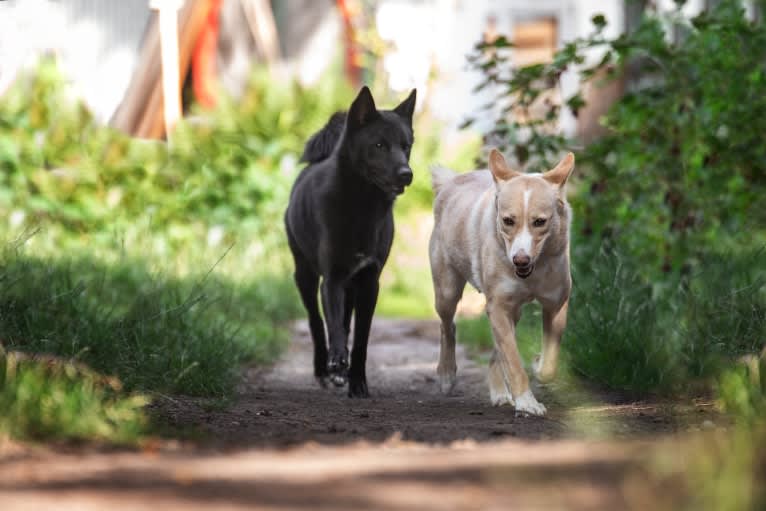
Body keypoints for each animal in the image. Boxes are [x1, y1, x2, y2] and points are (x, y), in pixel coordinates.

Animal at [286, 87, 416, 400]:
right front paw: (336, 362)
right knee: (317, 322)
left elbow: (360, 340)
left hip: (350, 286)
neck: (362, 205)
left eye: (406, 146)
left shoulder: (369, 282)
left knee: (344, 322)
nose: (406, 174)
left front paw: (358, 382)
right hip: (305, 275)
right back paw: (324, 369)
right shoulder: (331, 279)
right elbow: (332, 325)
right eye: (379, 144)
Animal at [428, 149, 572, 416]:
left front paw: (537, 365)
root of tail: (451, 182)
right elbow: (513, 362)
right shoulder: (498, 307)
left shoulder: (556, 303)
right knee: (447, 326)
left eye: (540, 222)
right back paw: (446, 375)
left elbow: (548, 363)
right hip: (447, 291)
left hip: (512, 312)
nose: (520, 259)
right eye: (508, 220)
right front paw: (527, 402)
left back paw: (499, 393)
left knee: (497, 350)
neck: (533, 273)